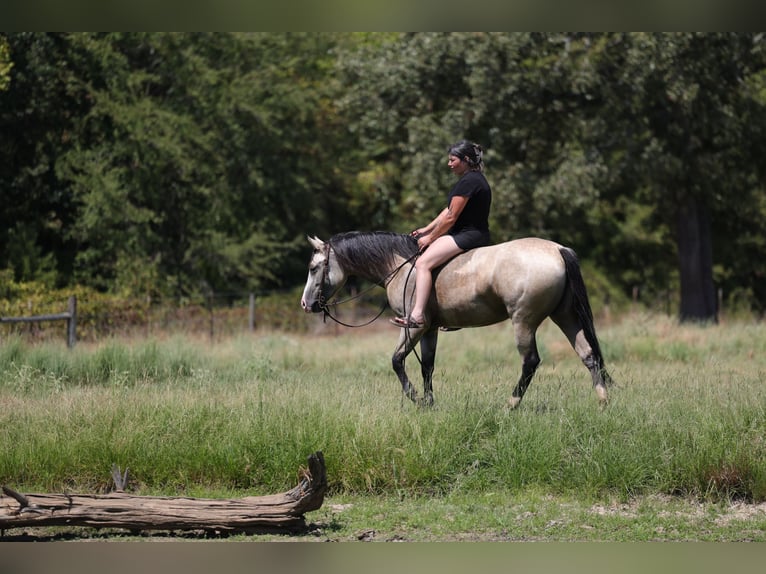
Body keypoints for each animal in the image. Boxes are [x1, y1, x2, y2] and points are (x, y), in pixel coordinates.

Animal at [300, 231, 612, 408]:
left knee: (531, 362)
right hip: (566, 316)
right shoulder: (429, 330)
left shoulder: (414, 327)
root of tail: (558, 250)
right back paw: (603, 401)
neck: (400, 265)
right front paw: (429, 402)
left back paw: (511, 404)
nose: (305, 304)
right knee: (588, 355)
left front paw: (416, 399)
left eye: (315, 267)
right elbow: (427, 366)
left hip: (523, 322)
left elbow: (397, 361)